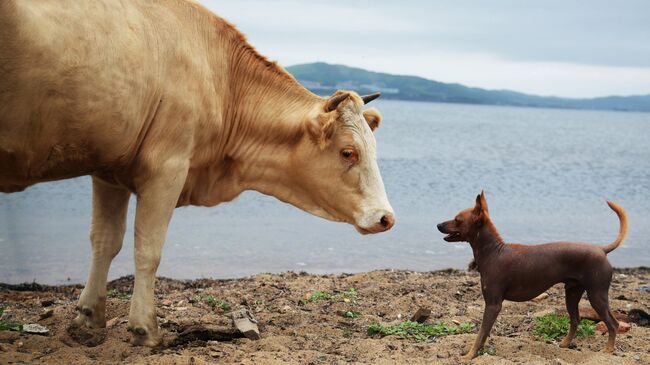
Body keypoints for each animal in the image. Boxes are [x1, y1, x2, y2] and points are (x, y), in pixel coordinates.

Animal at [0, 0, 394, 346]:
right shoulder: (167, 168)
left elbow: (105, 241)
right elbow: (148, 248)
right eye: (348, 151)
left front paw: (89, 317)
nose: (386, 217)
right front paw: (144, 329)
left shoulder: (108, 171)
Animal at [438, 192, 624, 360]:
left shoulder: (493, 305)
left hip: (596, 295)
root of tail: (601, 250)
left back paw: (608, 350)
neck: (493, 252)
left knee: (612, 323)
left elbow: (481, 332)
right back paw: (565, 344)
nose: (438, 224)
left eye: (457, 219)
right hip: (572, 294)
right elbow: (483, 334)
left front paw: (470, 355)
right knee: (576, 319)